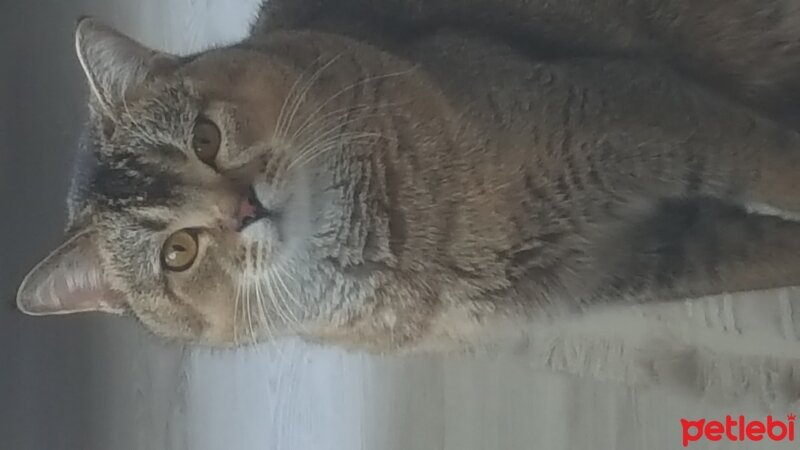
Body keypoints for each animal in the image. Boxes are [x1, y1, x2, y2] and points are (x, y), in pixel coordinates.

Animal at [12, 1, 800, 350]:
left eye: (205, 138)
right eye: (178, 253)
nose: (246, 209)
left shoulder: (631, 107)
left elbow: (772, 163)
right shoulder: (633, 259)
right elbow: (762, 249)